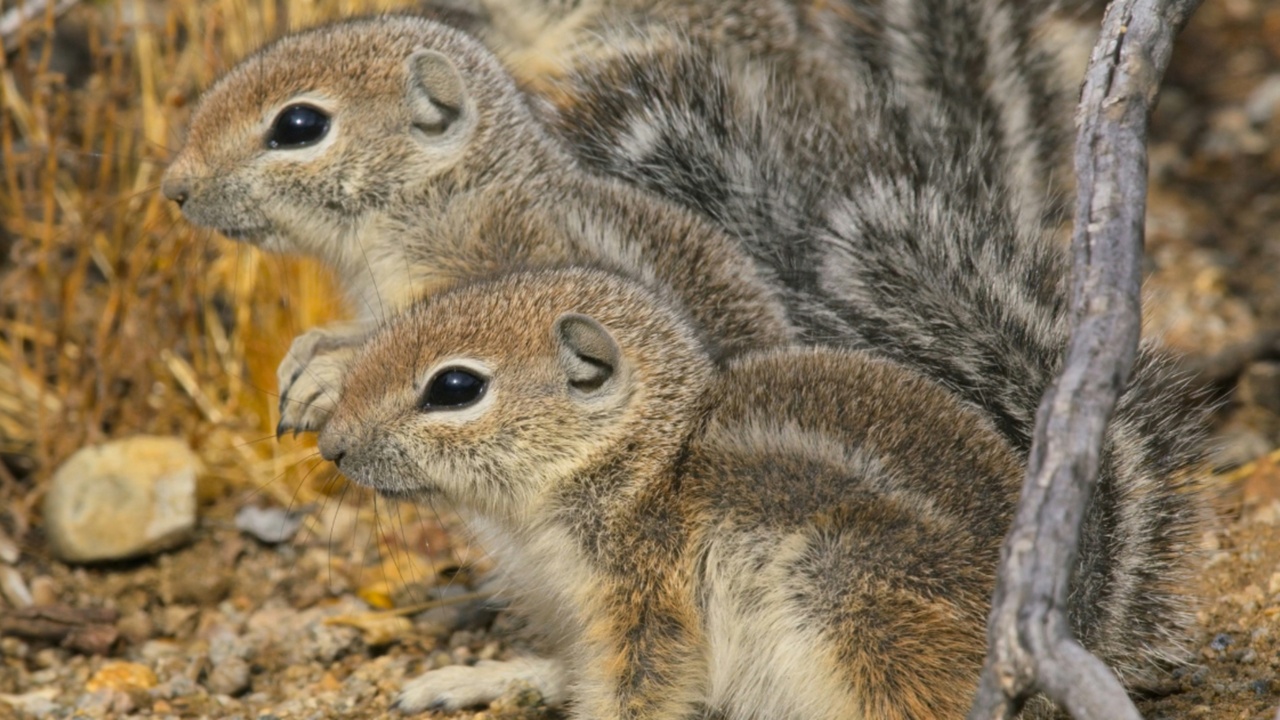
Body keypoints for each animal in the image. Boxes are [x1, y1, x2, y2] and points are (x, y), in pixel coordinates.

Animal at [316, 266, 1203, 719]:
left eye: (454, 388)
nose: (330, 445)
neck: (645, 463)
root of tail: (1072, 622)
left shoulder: (648, 600)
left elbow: (643, 685)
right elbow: (570, 668)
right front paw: (478, 677)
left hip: (848, 595)